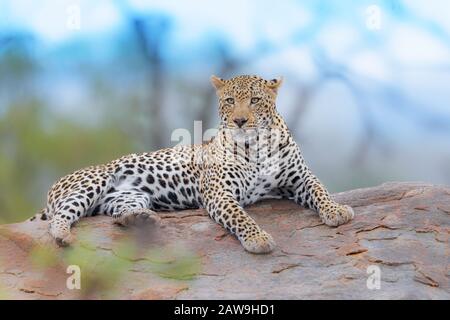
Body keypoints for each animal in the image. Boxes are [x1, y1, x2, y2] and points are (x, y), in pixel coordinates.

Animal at [29, 74, 356, 252]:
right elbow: (241, 216)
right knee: (62, 215)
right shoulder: (220, 193)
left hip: (125, 198)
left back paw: (141, 220)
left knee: (118, 215)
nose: (239, 121)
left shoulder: (299, 178)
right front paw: (258, 238)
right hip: (93, 182)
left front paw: (337, 210)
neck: (258, 145)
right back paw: (63, 235)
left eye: (254, 100)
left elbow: (320, 190)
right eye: (228, 101)